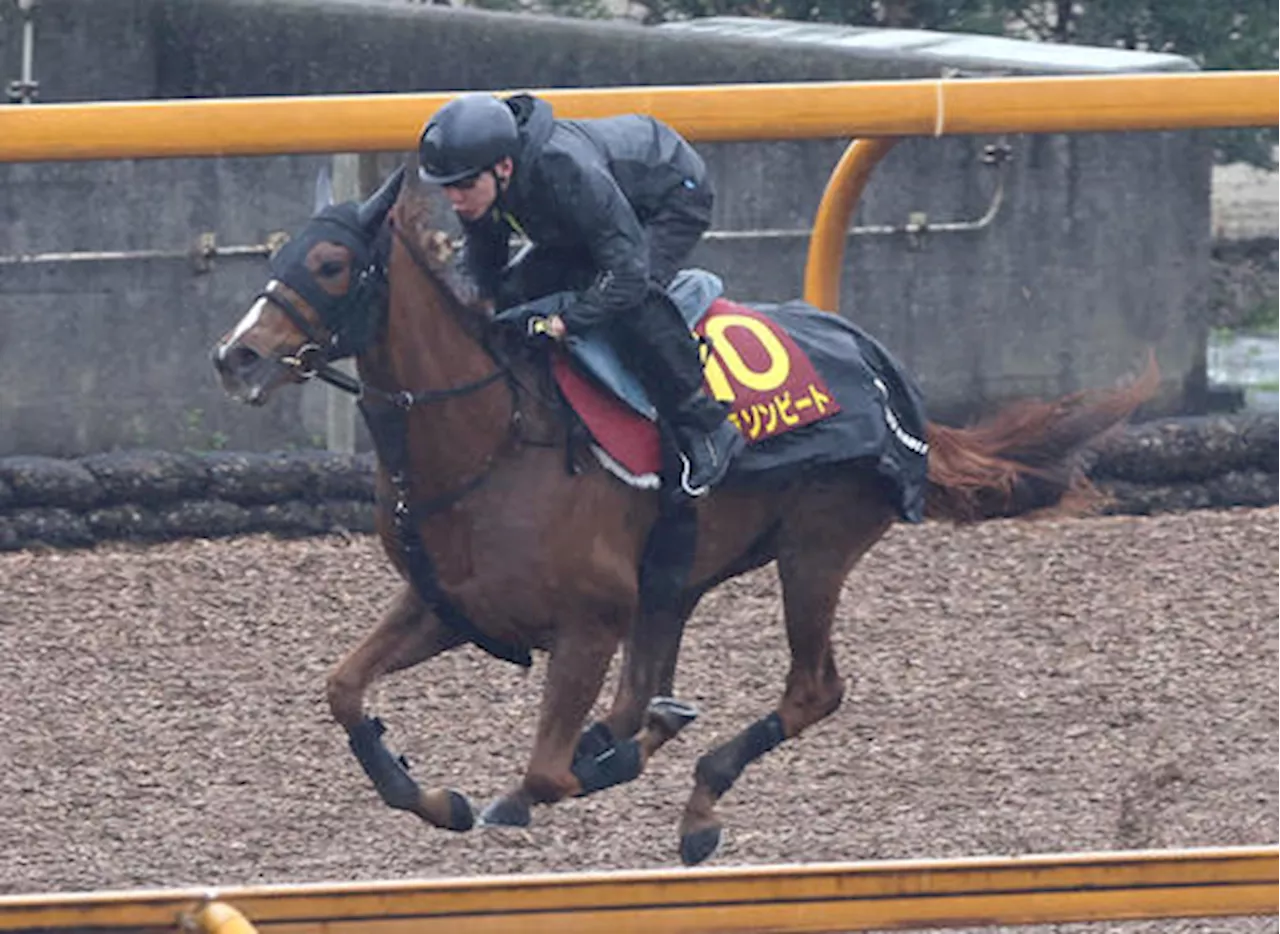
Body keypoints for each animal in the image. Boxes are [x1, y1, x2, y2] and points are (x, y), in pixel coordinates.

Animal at [212, 163, 1162, 859]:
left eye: (330, 264)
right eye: (278, 254)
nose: (237, 355)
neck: (493, 432)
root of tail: (889, 378)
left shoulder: (590, 621)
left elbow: (554, 769)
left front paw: (576, 771)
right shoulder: (448, 605)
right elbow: (344, 690)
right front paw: (437, 796)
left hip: (815, 549)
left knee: (811, 690)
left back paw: (698, 802)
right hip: (677, 581)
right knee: (648, 694)